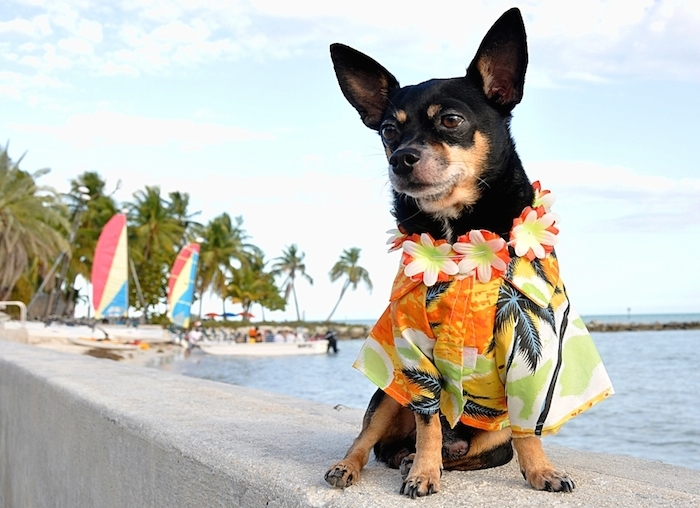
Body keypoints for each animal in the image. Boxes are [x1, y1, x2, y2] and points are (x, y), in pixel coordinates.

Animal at [324, 6, 612, 500]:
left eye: (451, 121)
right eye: (388, 130)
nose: (400, 157)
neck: (459, 236)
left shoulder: (532, 355)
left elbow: (528, 431)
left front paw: (542, 471)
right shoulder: (414, 354)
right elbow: (428, 425)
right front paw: (424, 472)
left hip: (492, 434)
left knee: (476, 450)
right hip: (388, 394)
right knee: (370, 439)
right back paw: (364, 464)